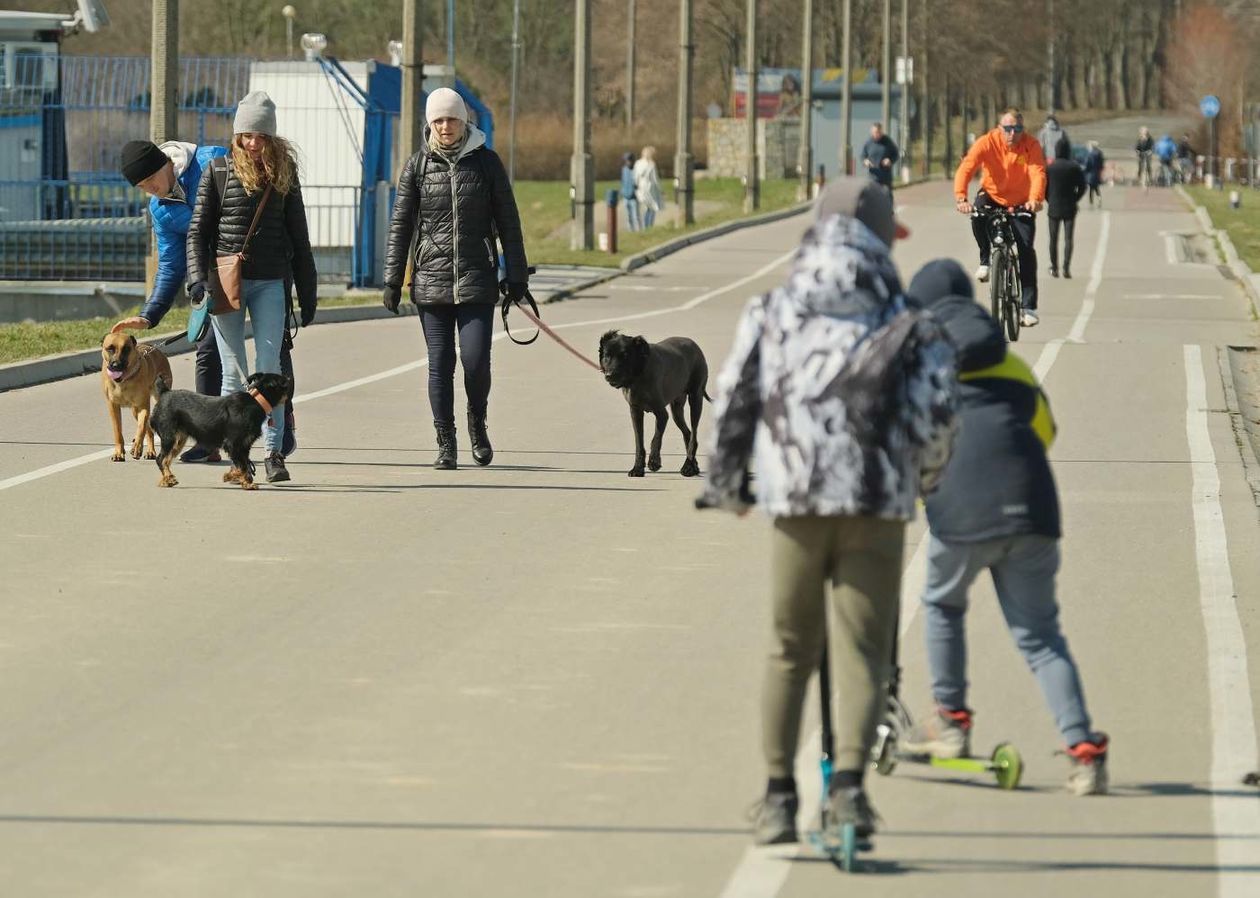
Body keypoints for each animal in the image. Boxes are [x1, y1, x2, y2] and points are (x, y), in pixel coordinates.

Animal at [100, 329, 172, 463]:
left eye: (126, 349)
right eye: (110, 348)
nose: (116, 365)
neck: (123, 381)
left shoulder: (143, 406)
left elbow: (141, 427)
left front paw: (137, 447)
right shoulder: (113, 406)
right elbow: (118, 431)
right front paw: (118, 452)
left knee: (147, 428)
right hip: (134, 410)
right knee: (149, 430)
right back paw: (150, 451)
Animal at [149, 370, 292, 491]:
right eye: (285, 383)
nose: (290, 378)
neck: (256, 401)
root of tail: (165, 393)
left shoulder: (244, 446)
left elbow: (245, 464)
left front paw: (245, 481)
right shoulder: (233, 445)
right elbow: (243, 466)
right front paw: (233, 477)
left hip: (179, 439)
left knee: (166, 460)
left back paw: (167, 479)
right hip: (169, 436)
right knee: (160, 459)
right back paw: (167, 479)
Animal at [597, 329, 710, 476]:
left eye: (625, 356)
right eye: (606, 355)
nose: (609, 375)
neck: (639, 374)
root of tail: (695, 345)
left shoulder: (662, 414)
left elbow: (656, 438)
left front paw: (654, 462)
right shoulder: (635, 411)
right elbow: (639, 442)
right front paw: (637, 468)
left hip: (695, 398)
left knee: (693, 436)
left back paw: (688, 467)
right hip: (676, 409)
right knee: (688, 433)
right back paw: (692, 466)